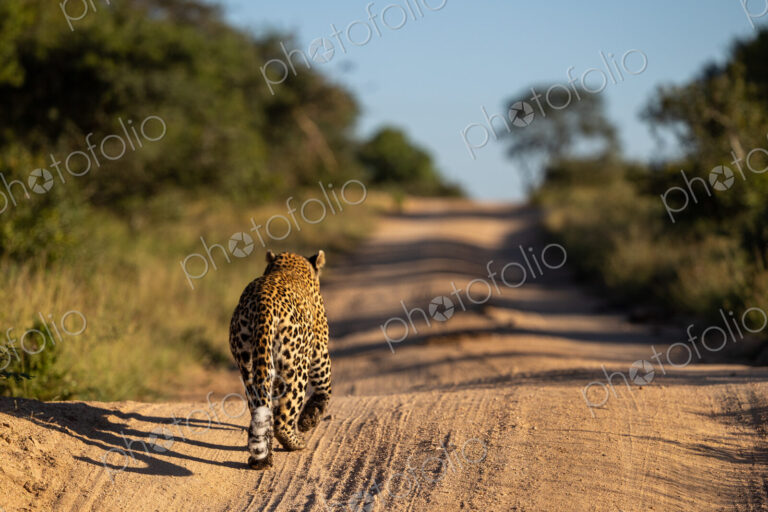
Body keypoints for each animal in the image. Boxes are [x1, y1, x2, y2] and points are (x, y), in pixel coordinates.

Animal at [228, 250, 332, 469]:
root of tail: (263, 306)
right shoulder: (319, 349)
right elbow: (325, 387)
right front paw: (310, 418)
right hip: (296, 366)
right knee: (282, 419)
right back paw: (296, 442)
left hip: (249, 364)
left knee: (260, 409)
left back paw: (261, 459)